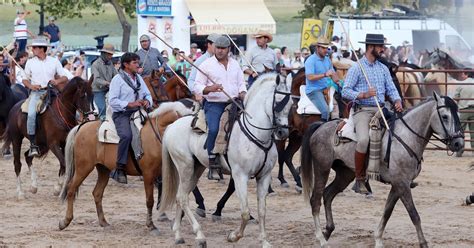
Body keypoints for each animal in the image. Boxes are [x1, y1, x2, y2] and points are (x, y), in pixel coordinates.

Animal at [59, 101, 193, 232]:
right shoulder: (148, 174)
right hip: (83, 168)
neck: (155, 137)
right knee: (71, 189)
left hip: (103, 170)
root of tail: (82, 126)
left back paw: (103, 222)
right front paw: (150, 225)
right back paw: (65, 221)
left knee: (97, 193)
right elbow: (150, 200)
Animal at [159, 72, 292, 247]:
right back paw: (200, 236)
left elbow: (262, 211)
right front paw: (233, 236)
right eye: (277, 103)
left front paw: (264, 241)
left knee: (181, 196)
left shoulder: (264, 176)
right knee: (182, 197)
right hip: (185, 167)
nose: (283, 133)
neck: (256, 134)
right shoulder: (240, 176)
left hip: (196, 169)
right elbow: (245, 212)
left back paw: (178, 235)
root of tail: (172, 126)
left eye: (291, 104)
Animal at [300, 92, 462, 247]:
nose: (459, 143)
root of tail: (321, 126)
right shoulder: (402, 183)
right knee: (315, 200)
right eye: (445, 116)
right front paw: (423, 243)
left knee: (328, 194)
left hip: (345, 174)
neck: (405, 138)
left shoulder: (397, 185)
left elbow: (387, 211)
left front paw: (378, 239)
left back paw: (328, 230)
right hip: (322, 168)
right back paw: (321, 238)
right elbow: (414, 214)